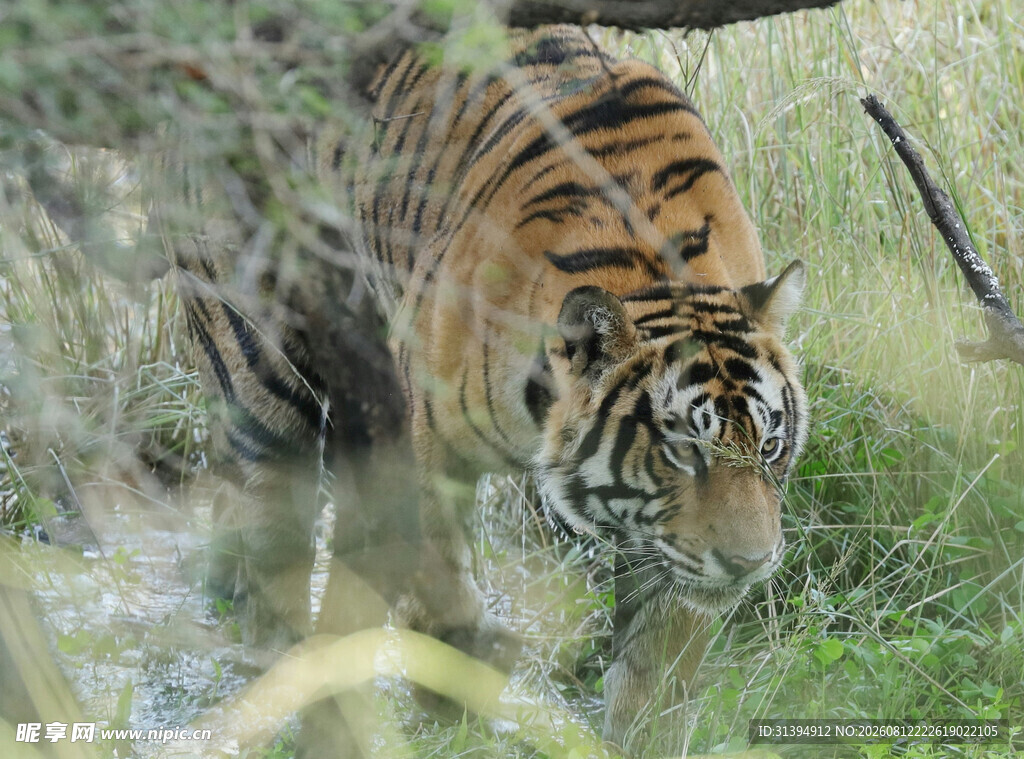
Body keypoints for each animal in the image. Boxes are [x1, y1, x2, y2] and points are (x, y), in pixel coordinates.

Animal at [170, 23, 808, 753]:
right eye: (681, 451)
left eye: (770, 446)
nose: (749, 563)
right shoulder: (417, 435)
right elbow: (433, 567)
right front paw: (459, 665)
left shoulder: (668, 548)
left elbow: (657, 665)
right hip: (258, 358)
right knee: (273, 531)